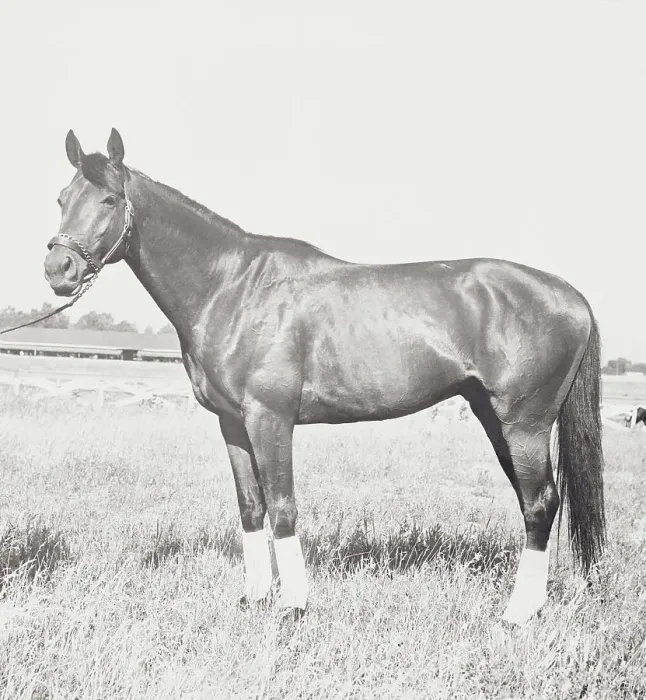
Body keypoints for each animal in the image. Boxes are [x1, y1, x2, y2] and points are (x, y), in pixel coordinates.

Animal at [43, 129, 606, 625]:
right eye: (62, 198)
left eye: (110, 199)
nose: (58, 269)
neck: (234, 287)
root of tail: (570, 294)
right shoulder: (232, 424)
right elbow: (252, 508)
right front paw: (254, 598)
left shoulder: (270, 419)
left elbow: (283, 507)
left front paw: (294, 606)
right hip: (494, 418)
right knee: (534, 502)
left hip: (524, 424)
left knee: (540, 503)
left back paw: (517, 615)